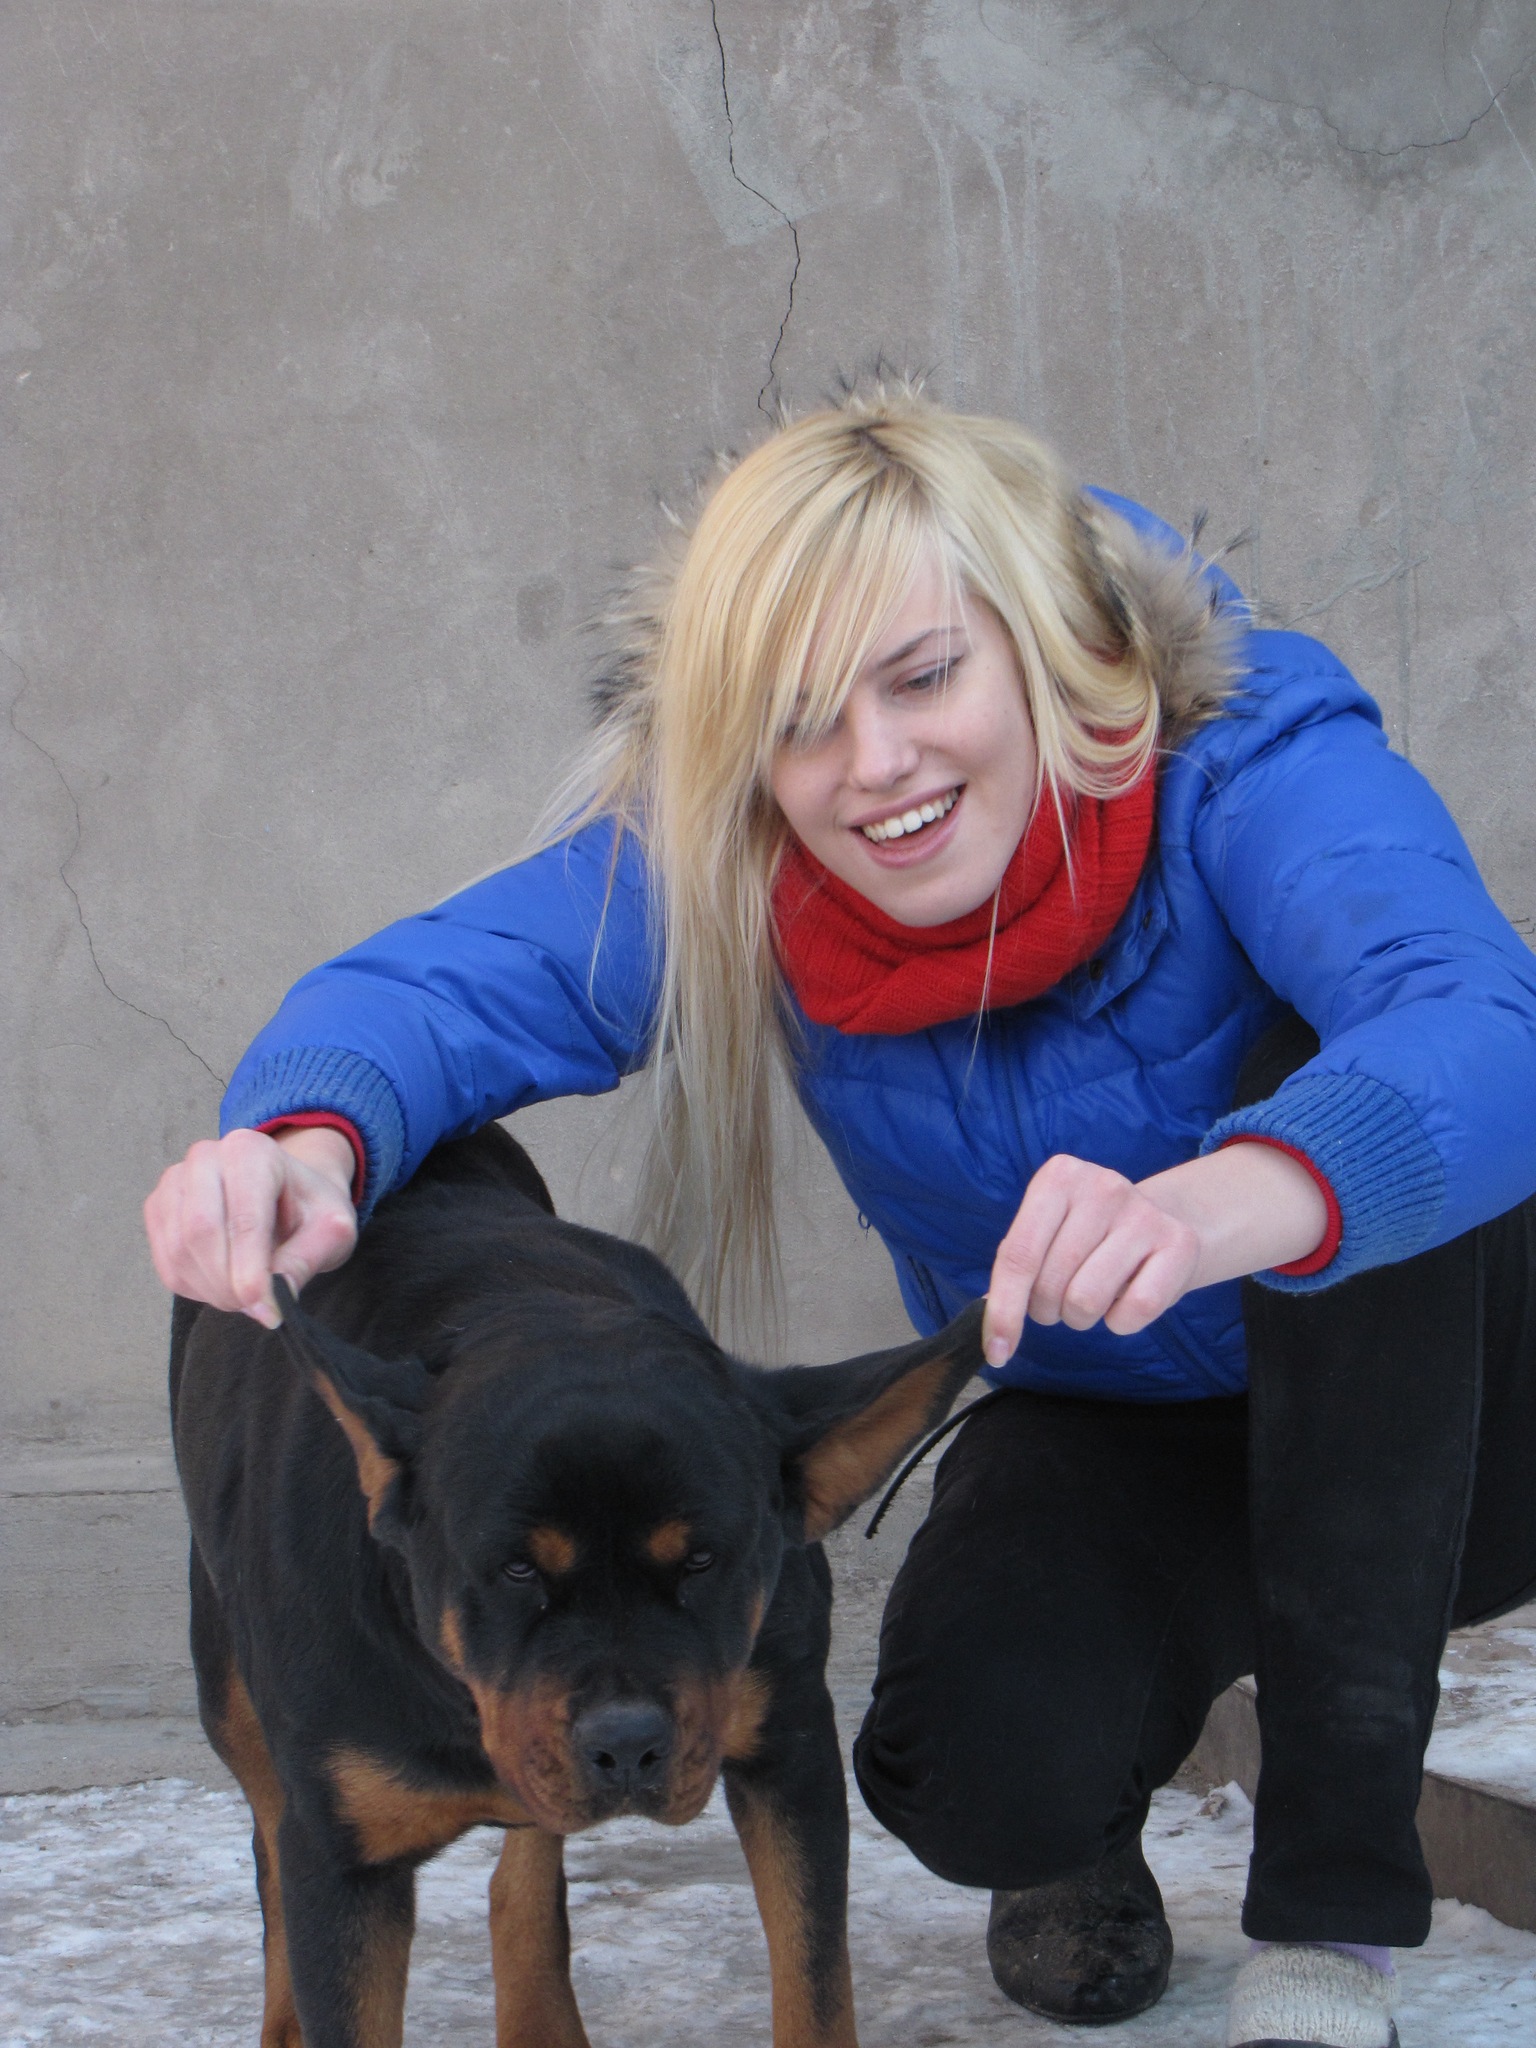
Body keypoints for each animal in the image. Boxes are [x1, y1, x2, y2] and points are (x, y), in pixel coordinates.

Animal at [171, 1124, 982, 2047]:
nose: (627, 1744)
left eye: (702, 1562)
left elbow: (815, 1988)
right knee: (269, 1853)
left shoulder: (792, 1747)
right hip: (229, 1693)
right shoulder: (341, 1853)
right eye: (517, 1568)